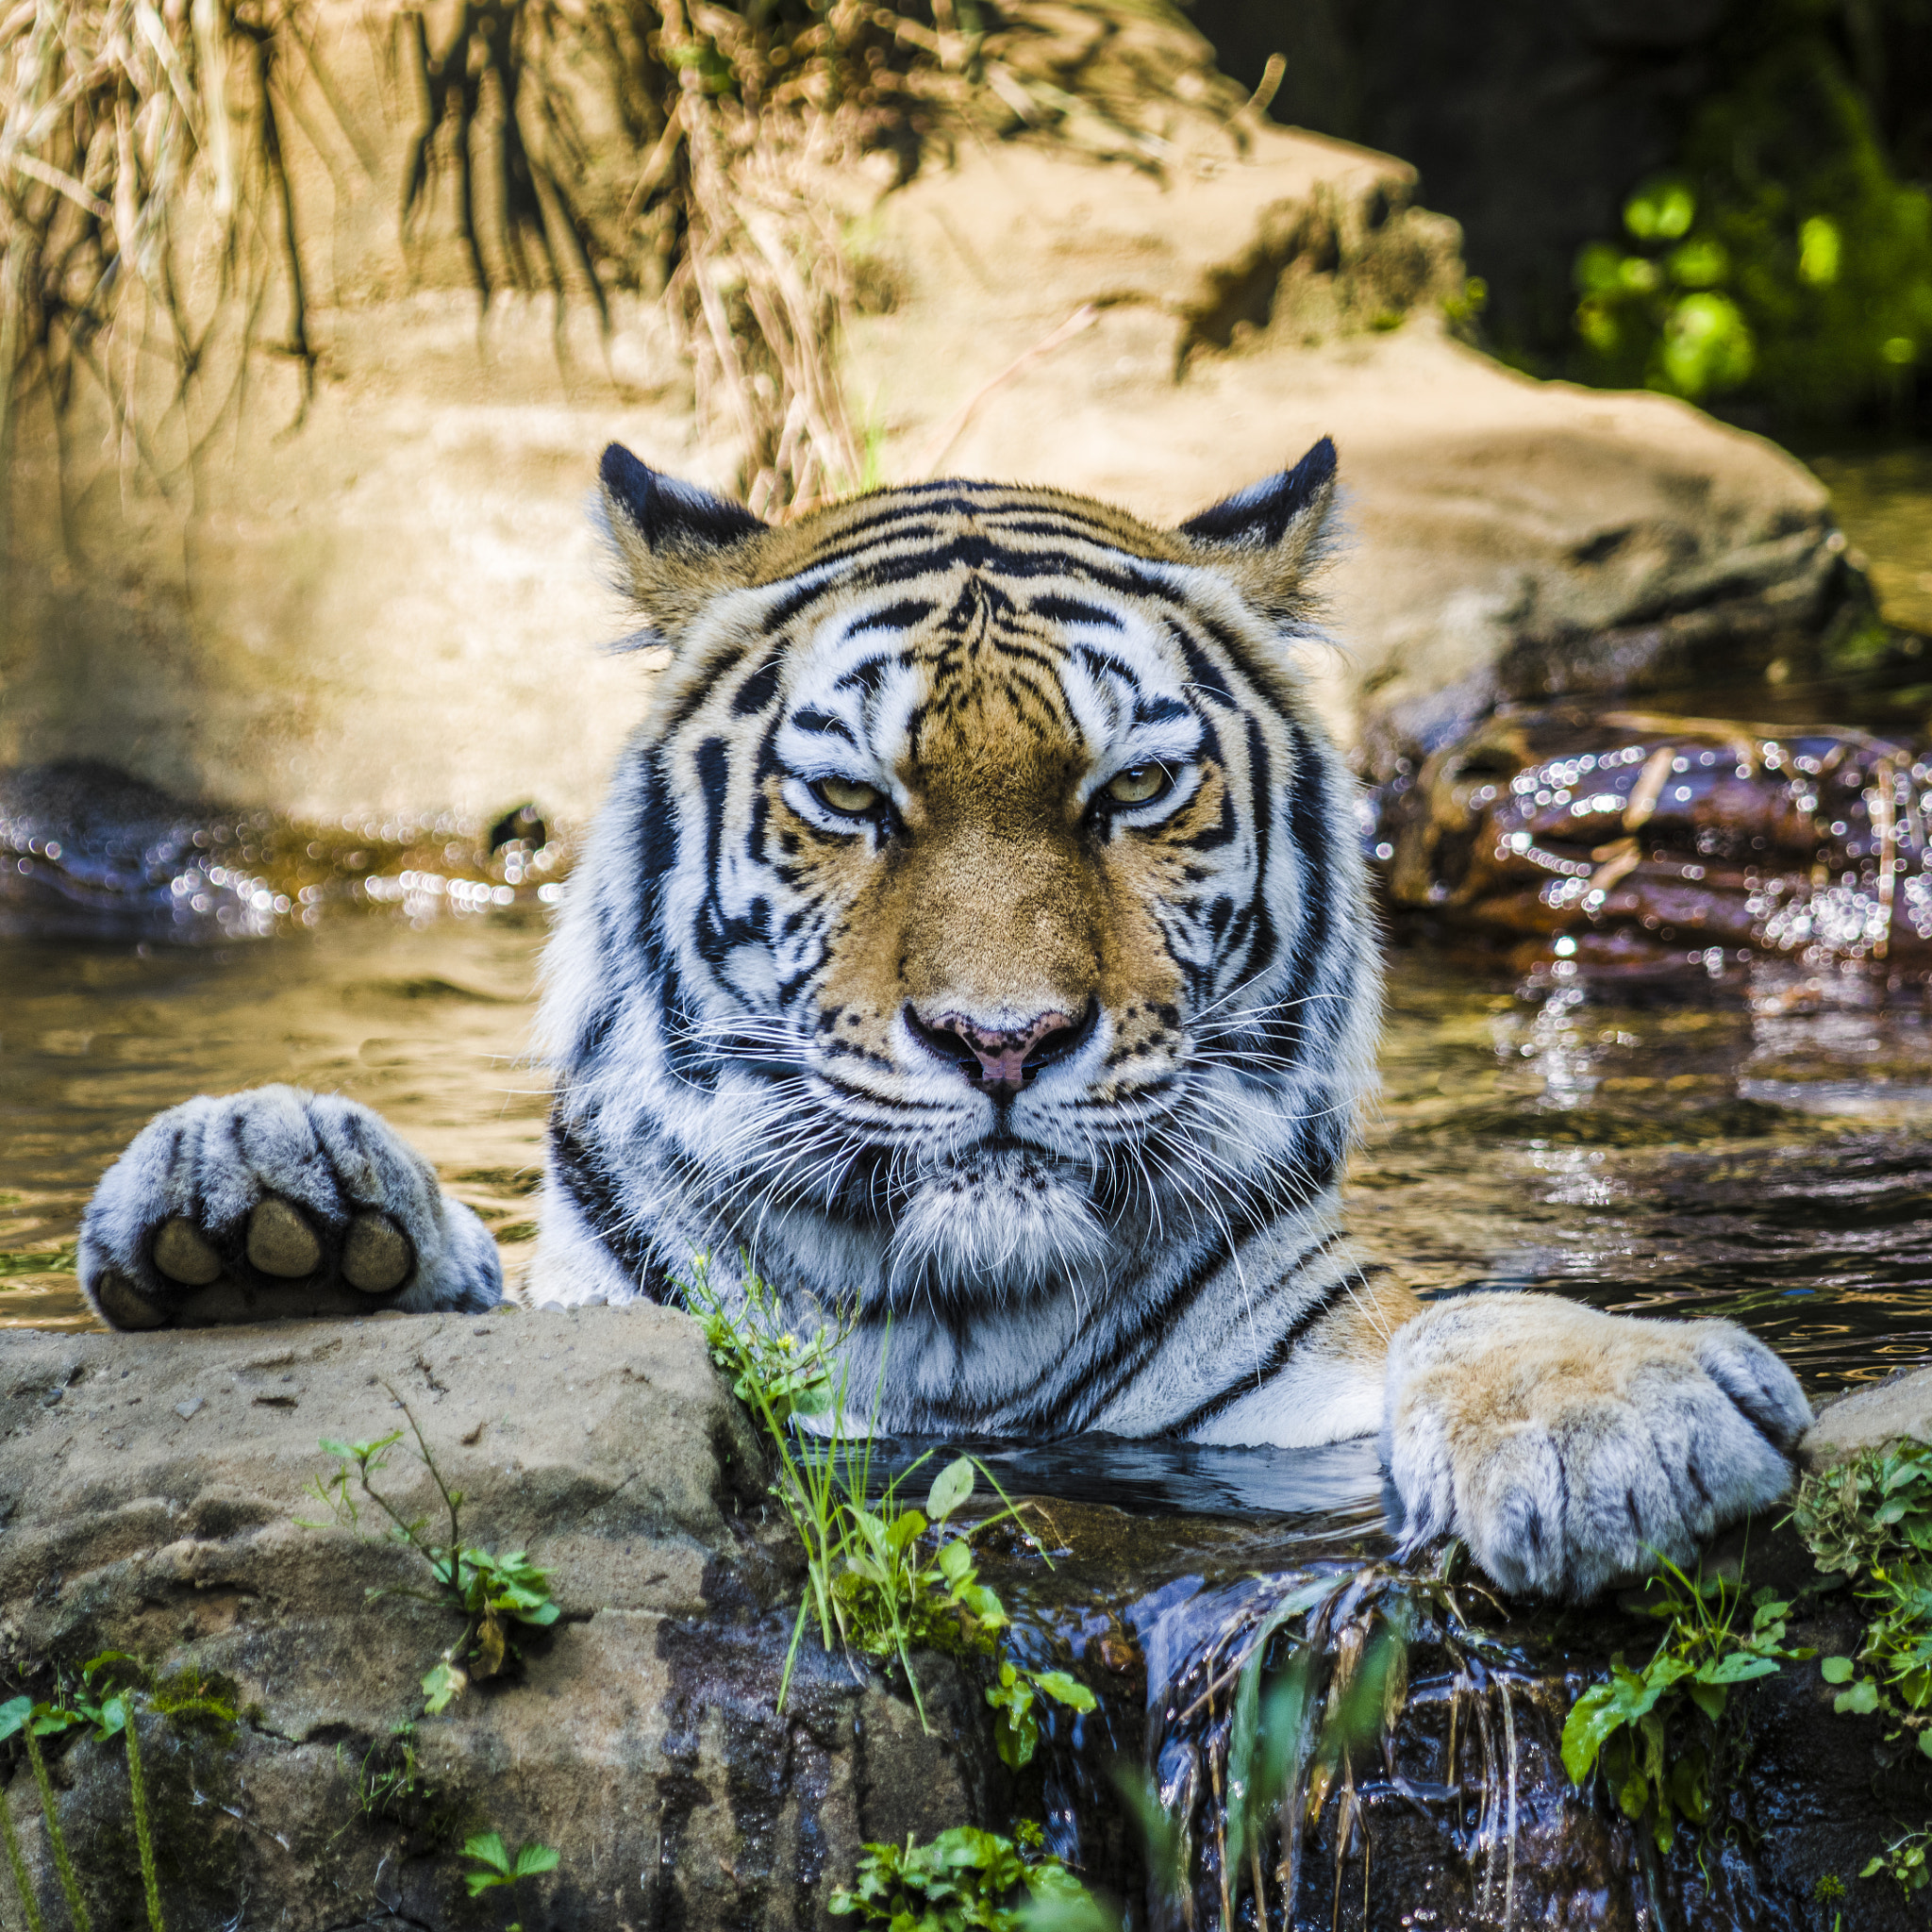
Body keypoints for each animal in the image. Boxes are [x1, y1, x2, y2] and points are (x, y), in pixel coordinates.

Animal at [75, 438, 1807, 1599]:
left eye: (1134, 791)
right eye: (851, 802)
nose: (1001, 1041)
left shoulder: (1282, 1383)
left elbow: (1459, 1315)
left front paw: (1608, 1423)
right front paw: (264, 1211)